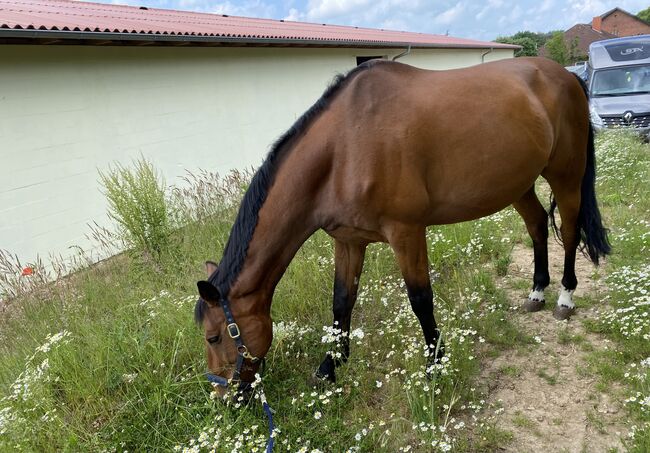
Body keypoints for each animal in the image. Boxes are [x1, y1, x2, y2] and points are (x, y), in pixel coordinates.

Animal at [192, 57, 608, 388]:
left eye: (213, 337)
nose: (223, 397)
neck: (344, 147)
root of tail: (566, 76)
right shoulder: (348, 241)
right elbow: (341, 302)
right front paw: (331, 366)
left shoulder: (406, 231)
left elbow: (420, 299)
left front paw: (435, 365)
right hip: (518, 183)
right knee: (537, 225)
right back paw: (537, 291)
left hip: (566, 175)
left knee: (568, 231)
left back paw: (565, 297)